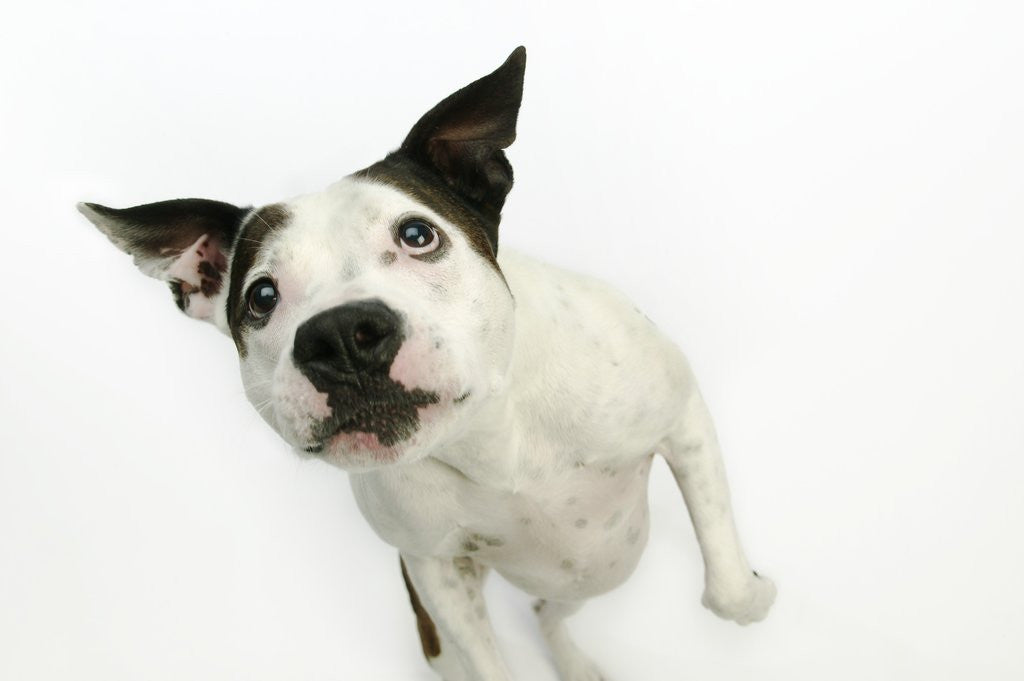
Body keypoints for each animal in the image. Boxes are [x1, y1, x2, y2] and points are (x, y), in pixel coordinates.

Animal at [79, 45, 774, 675]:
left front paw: (755, 592)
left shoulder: (682, 418)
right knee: (539, 615)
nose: (341, 337)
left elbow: (731, 593)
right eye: (262, 297)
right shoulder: (436, 572)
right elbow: (489, 664)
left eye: (417, 235)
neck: (496, 439)